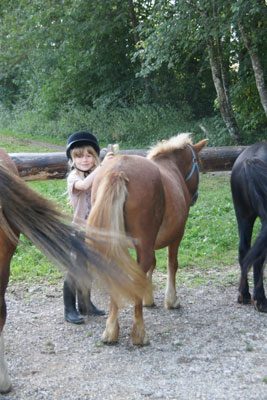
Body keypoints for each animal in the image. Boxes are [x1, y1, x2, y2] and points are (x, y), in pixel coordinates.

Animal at [89, 134, 208, 344]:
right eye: (198, 163)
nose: (195, 196)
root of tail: (118, 171)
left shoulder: (146, 244)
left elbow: (152, 265)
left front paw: (148, 298)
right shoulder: (177, 236)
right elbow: (172, 264)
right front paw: (171, 300)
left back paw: (111, 329)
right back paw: (139, 332)